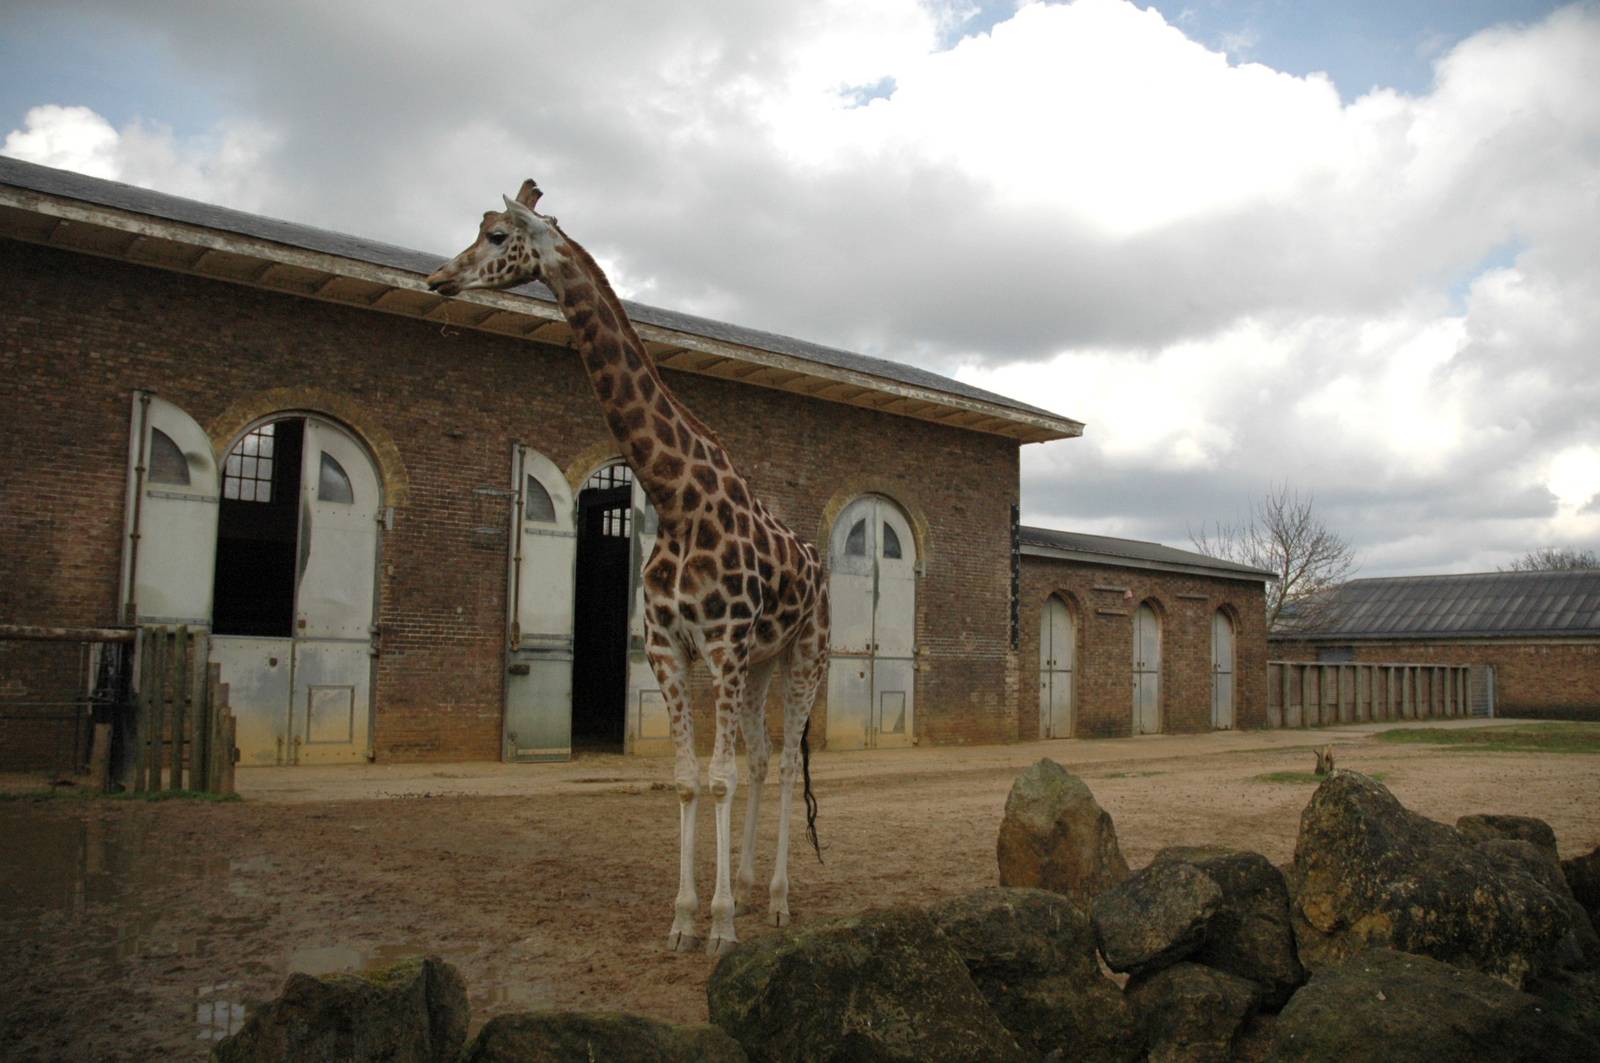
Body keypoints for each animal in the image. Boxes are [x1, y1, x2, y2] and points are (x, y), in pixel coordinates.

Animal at [426, 180, 830, 954]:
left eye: (497, 236)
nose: (439, 278)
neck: (675, 497)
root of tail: (819, 562)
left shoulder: (723, 647)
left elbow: (718, 776)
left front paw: (720, 927)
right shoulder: (671, 648)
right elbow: (688, 777)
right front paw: (685, 918)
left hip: (805, 654)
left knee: (783, 761)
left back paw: (781, 901)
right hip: (763, 661)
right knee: (765, 757)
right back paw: (754, 886)